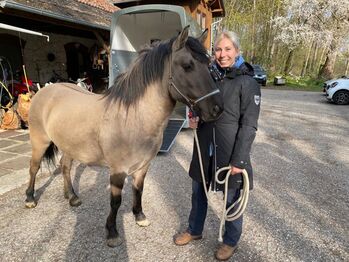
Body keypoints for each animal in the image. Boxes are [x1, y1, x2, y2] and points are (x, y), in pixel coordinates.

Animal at [25, 25, 223, 247]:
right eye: (188, 66)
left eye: (209, 65)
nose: (217, 109)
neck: (132, 117)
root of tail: (46, 89)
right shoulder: (118, 170)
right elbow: (116, 201)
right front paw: (112, 233)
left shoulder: (143, 166)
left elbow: (138, 190)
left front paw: (140, 216)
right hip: (39, 142)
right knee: (34, 168)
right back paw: (30, 199)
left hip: (68, 145)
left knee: (65, 167)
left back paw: (72, 196)